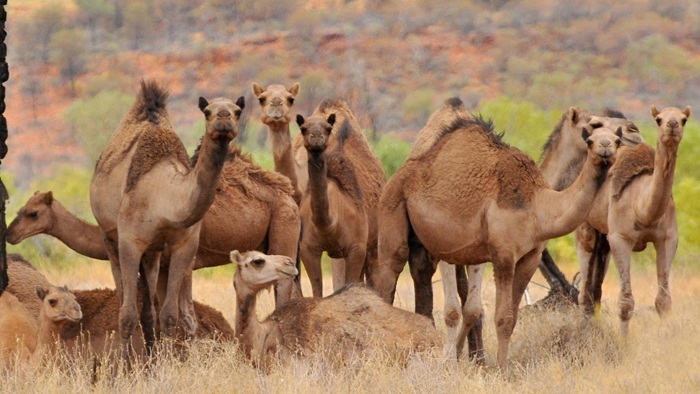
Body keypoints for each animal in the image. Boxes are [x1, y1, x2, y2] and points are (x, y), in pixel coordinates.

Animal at [89, 81, 238, 356]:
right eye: (207, 112)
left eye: (237, 110)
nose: (224, 120)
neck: (165, 199)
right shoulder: (130, 242)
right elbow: (126, 314)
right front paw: (123, 365)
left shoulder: (184, 245)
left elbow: (169, 314)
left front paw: (165, 363)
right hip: (109, 238)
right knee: (123, 295)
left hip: (153, 253)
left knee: (149, 308)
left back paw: (150, 355)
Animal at [372, 113, 624, 370]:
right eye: (590, 139)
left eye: (617, 140)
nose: (605, 147)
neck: (538, 204)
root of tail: (399, 174)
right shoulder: (503, 254)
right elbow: (502, 317)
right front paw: (500, 371)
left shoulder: (530, 257)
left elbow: (511, 318)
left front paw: (496, 366)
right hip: (392, 208)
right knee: (389, 272)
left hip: (424, 243)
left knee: (422, 273)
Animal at [576, 106, 692, 334]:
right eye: (658, 119)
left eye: (684, 119)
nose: (672, 125)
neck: (643, 208)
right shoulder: (621, 239)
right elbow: (625, 302)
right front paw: (624, 340)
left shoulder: (668, 239)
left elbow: (663, 301)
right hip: (586, 229)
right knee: (584, 290)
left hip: (604, 240)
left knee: (595, 289)